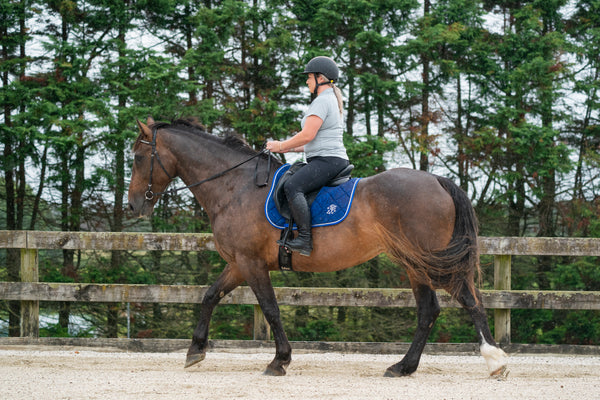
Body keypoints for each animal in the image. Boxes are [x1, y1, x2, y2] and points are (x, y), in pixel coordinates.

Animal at [126, 116, 506, 378]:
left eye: (139, 158)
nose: (133, 206)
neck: (235, 187)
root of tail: (437, 180)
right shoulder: (238, 263)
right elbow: (209, 296)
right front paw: (195, 350)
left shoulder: (251, 263)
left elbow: (270, 309)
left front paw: (279, 361)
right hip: (415, 264)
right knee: (430, 311)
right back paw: (403, 367)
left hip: (427, 261)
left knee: (467, 300)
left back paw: (494, 361)